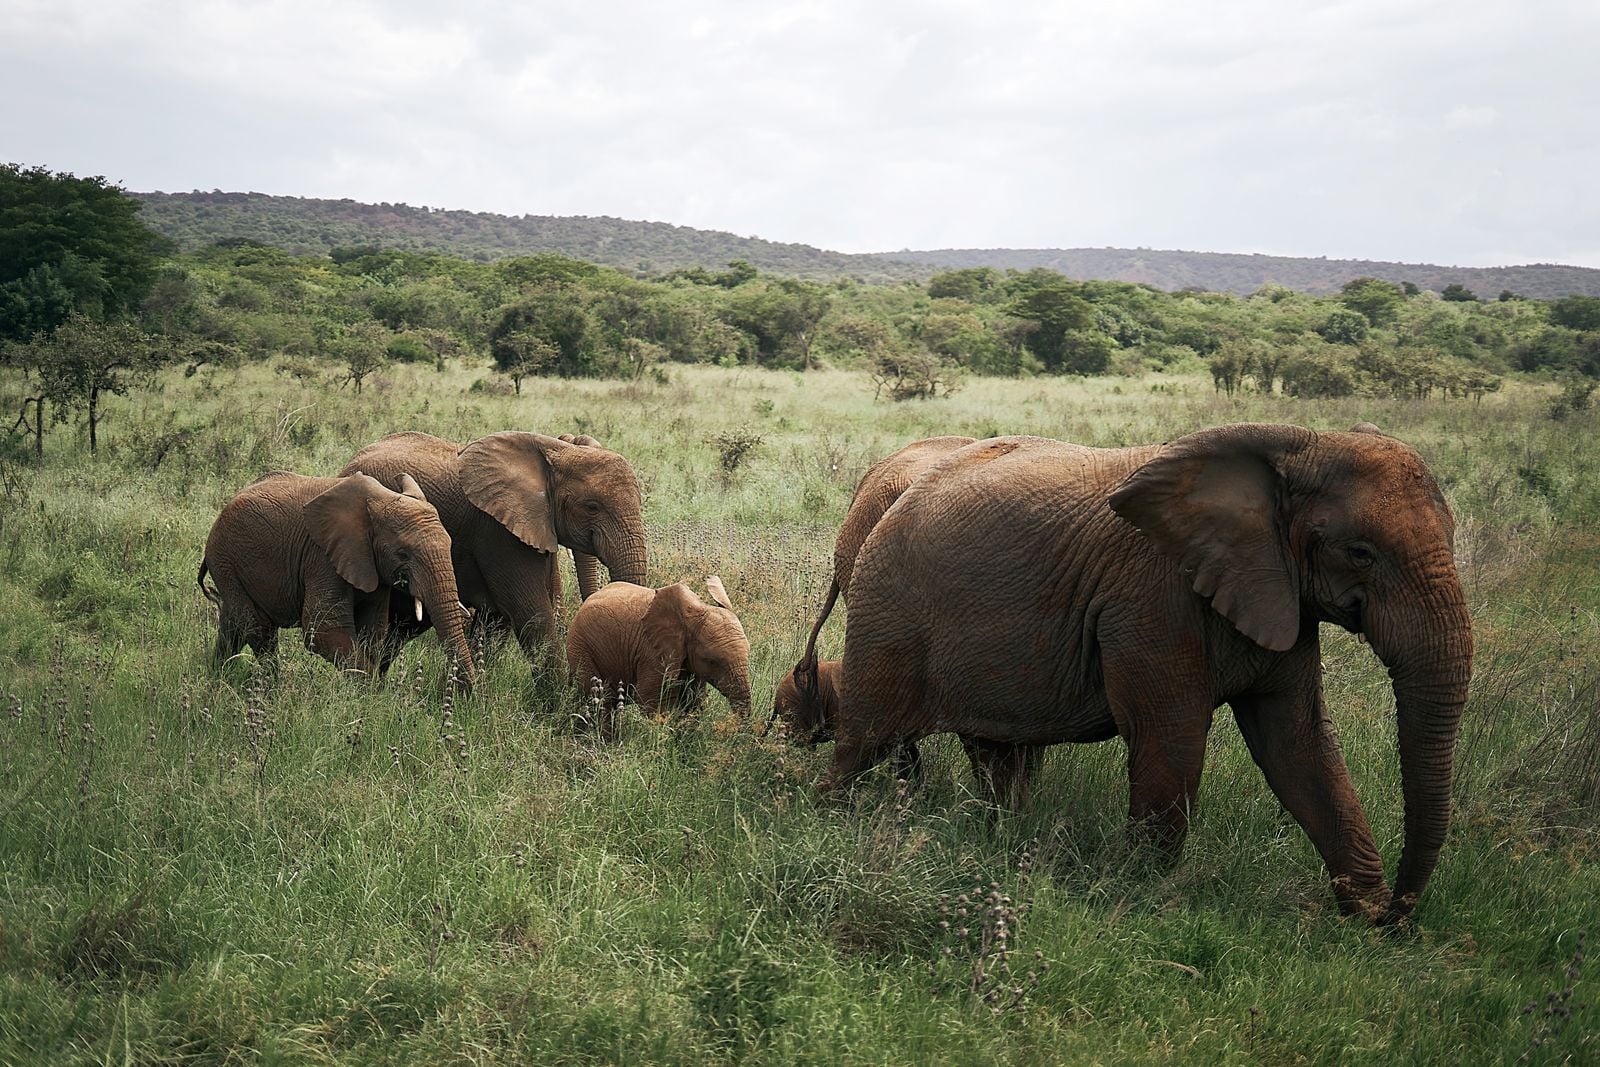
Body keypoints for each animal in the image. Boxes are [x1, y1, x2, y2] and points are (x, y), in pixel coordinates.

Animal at [198, 471, 475, 692]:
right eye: (402, 554)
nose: (467, 697)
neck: (378, 502)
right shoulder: (322, 556)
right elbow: (323, 630)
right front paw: (374, 696)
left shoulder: (371, 565)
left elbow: (372, 630)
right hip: (225, 559)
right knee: (258, 629)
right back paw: (271, 690)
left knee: (234, 623)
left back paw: (218, 676)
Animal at [567, 577, 753, 738]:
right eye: (712, 661)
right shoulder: (652, 653)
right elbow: (653, 703)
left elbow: (694, 703)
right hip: (581, 647)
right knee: (599, 700)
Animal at [827, 425, 1473, 924]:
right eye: (1360, 553)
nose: (1398, 916)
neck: (1294, 448)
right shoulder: (1150, 599)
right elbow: (1173, 737)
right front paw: (1142, 898)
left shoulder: (1279, 594)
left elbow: (1299, 746)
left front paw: (1364, 921)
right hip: (888, 606)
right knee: (866, 737)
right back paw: (833, 816)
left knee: (994, 752)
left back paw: (999, 839)